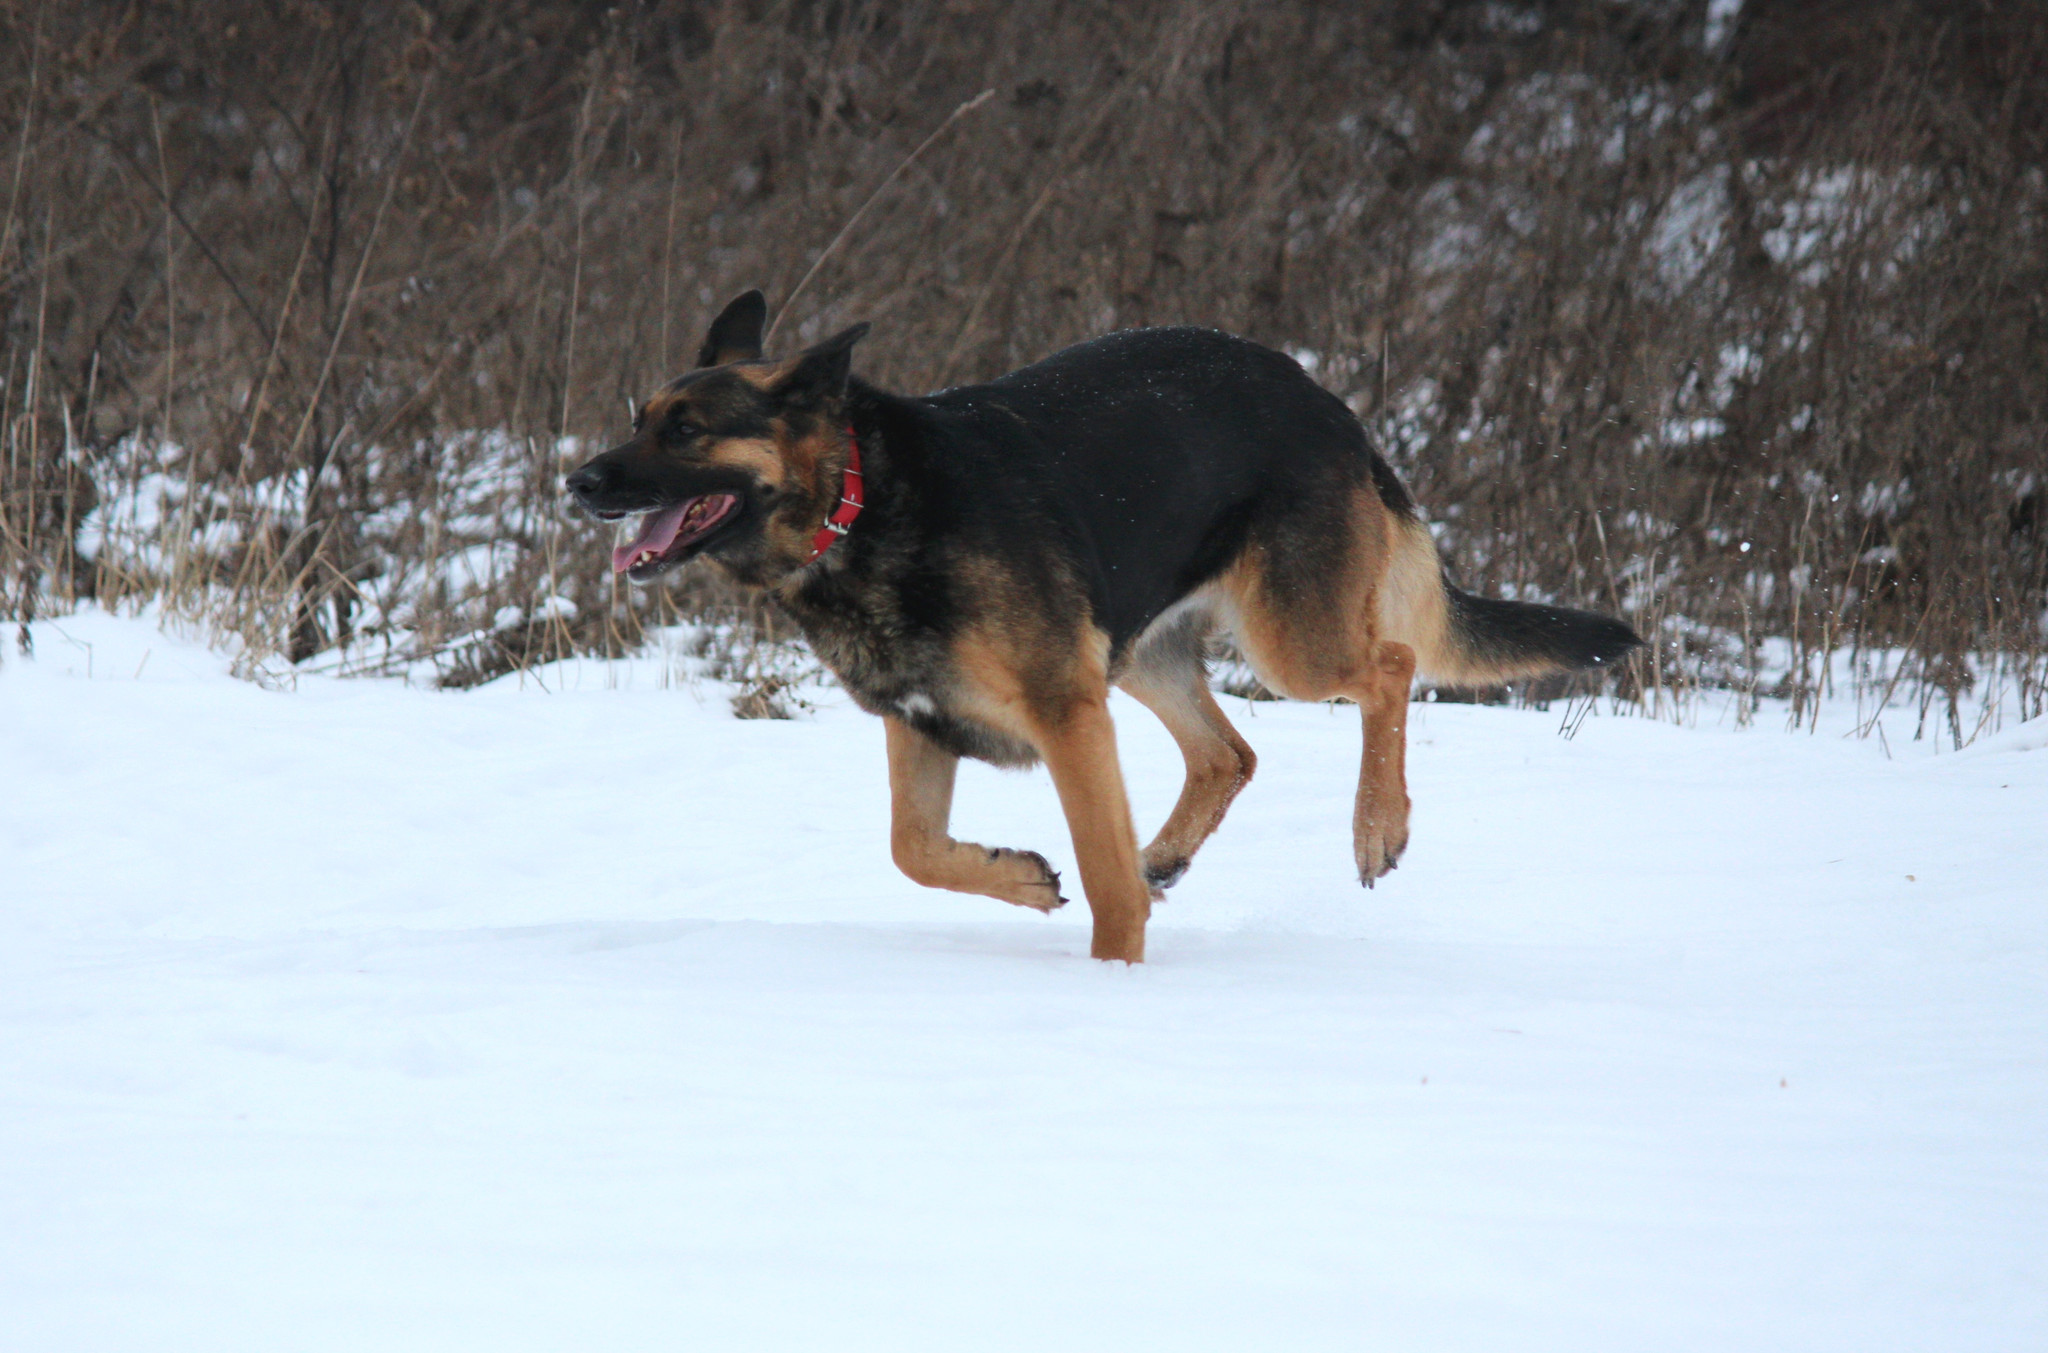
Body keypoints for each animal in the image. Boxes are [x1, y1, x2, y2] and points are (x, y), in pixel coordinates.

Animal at [569, 290, 1638, 962]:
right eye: (638, 417)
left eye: (687, 431)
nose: (577, 480)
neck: (859, 505)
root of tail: (1323, 398)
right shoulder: (927, 721)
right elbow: (913, 850)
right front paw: (1023, 879)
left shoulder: (1065, 714)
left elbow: (1102, 880)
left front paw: (1113, 985)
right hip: (1137, 652)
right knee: (1230, 754)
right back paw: (1168, 851)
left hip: (1285, 644)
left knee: (1391, 665)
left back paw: (1378, 827)